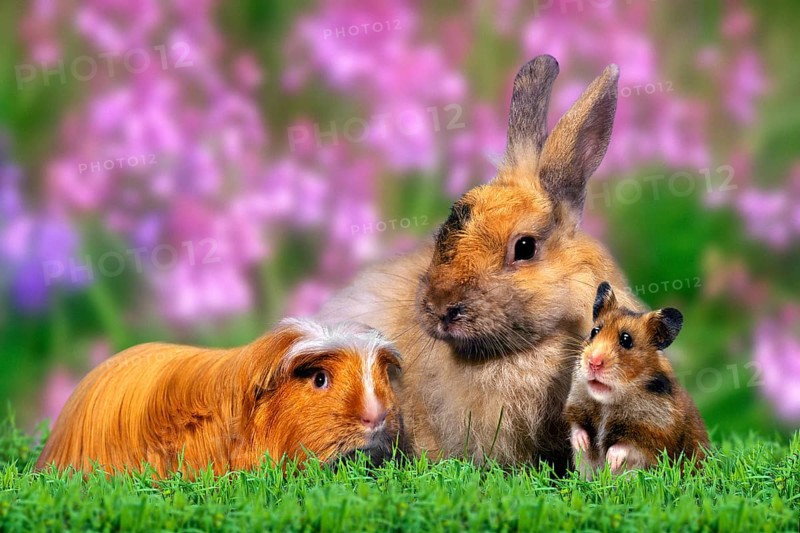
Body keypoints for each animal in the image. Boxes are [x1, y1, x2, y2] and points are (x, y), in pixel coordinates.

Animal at [564, 282, 709, 478]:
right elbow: (577, 427)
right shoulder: (575, 405)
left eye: (626, 340)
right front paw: (582, 443)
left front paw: (610, 460)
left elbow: (626, 446)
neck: (608, 403)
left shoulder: (654, 435)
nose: (593, 362)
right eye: (594, 331)